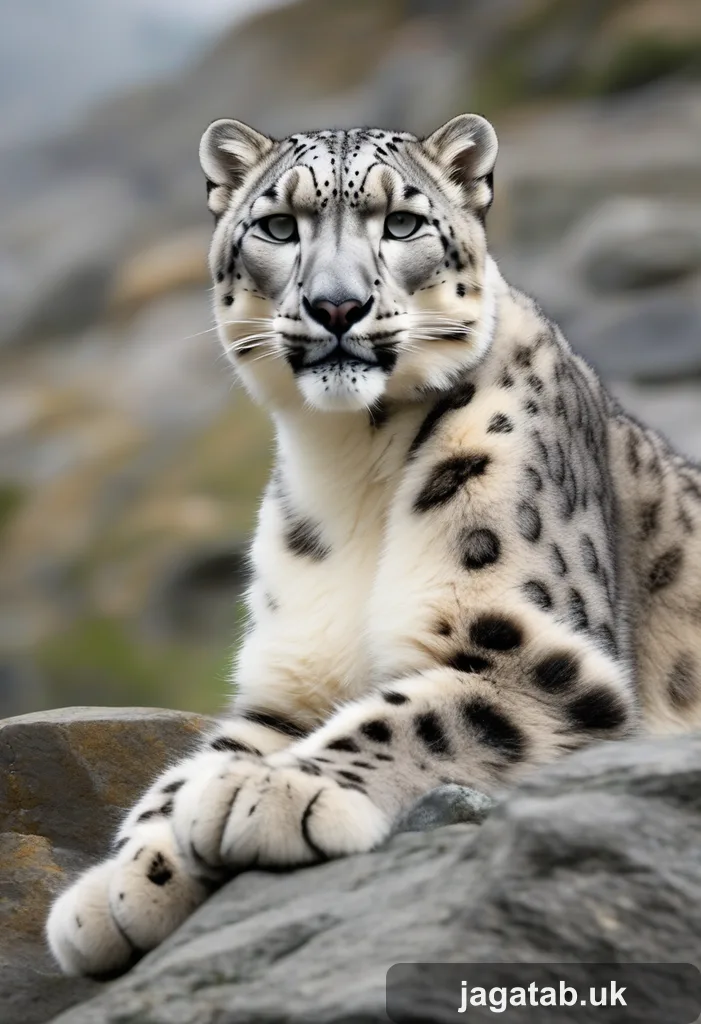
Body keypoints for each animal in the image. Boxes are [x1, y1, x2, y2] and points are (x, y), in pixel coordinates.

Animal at [46, 113, 701, 976]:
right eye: (278, 226)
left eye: (400, 223)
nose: (337, 305)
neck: (351, 463)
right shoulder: (289, 682)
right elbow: (192, 764)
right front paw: (118, 886)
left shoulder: (535, 656)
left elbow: (403, 717)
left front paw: (263, 793)